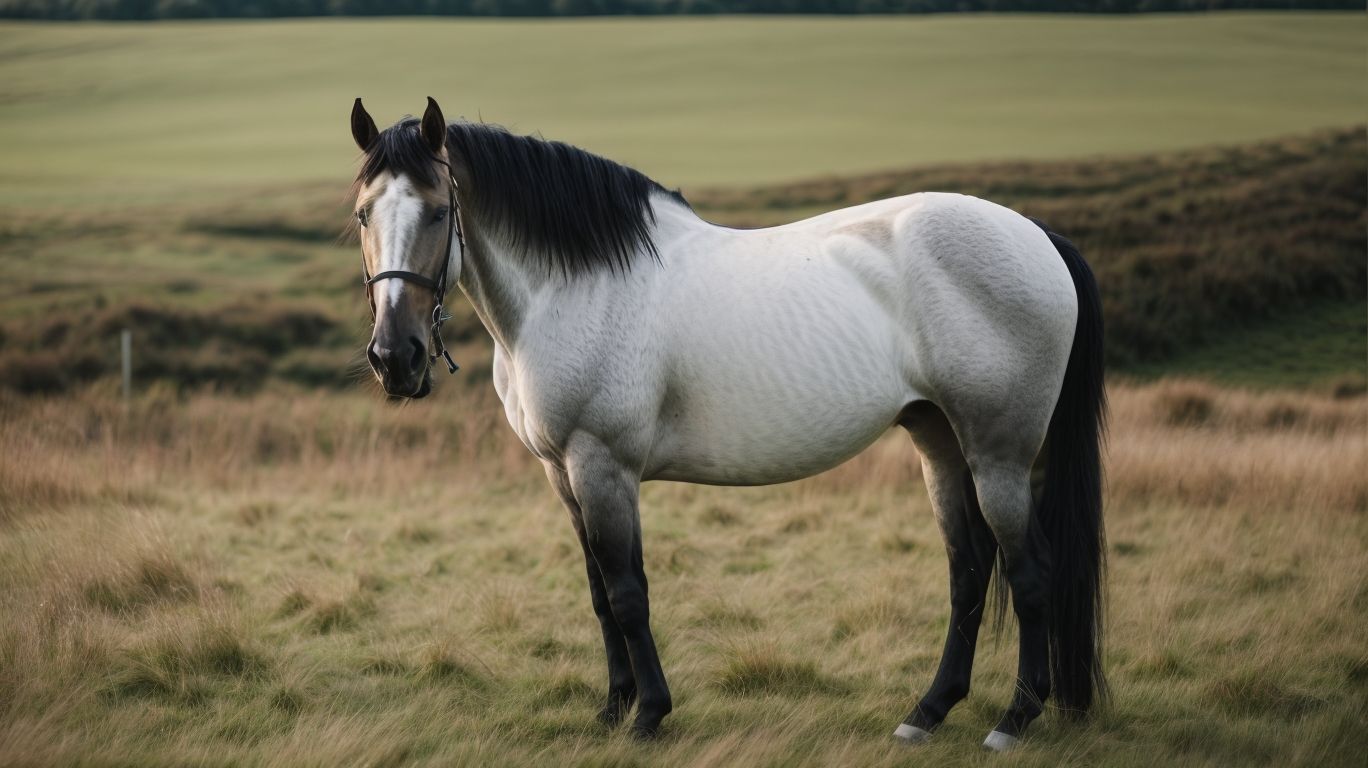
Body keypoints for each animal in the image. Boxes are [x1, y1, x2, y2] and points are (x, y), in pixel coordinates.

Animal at [346, 97, 1107, 751]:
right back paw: (927, 712)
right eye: (361, 216)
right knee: (968, 571)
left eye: (438, 211)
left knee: (1029, 571)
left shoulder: (602, 465)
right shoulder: (562, 473)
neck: (575, 287)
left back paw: (1014, 719)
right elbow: (598, 595)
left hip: (998, 456)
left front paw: (649, 715)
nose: (394, 358)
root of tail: (1038, 236)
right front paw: (612, 708)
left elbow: (628, 593)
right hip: (938, 441)